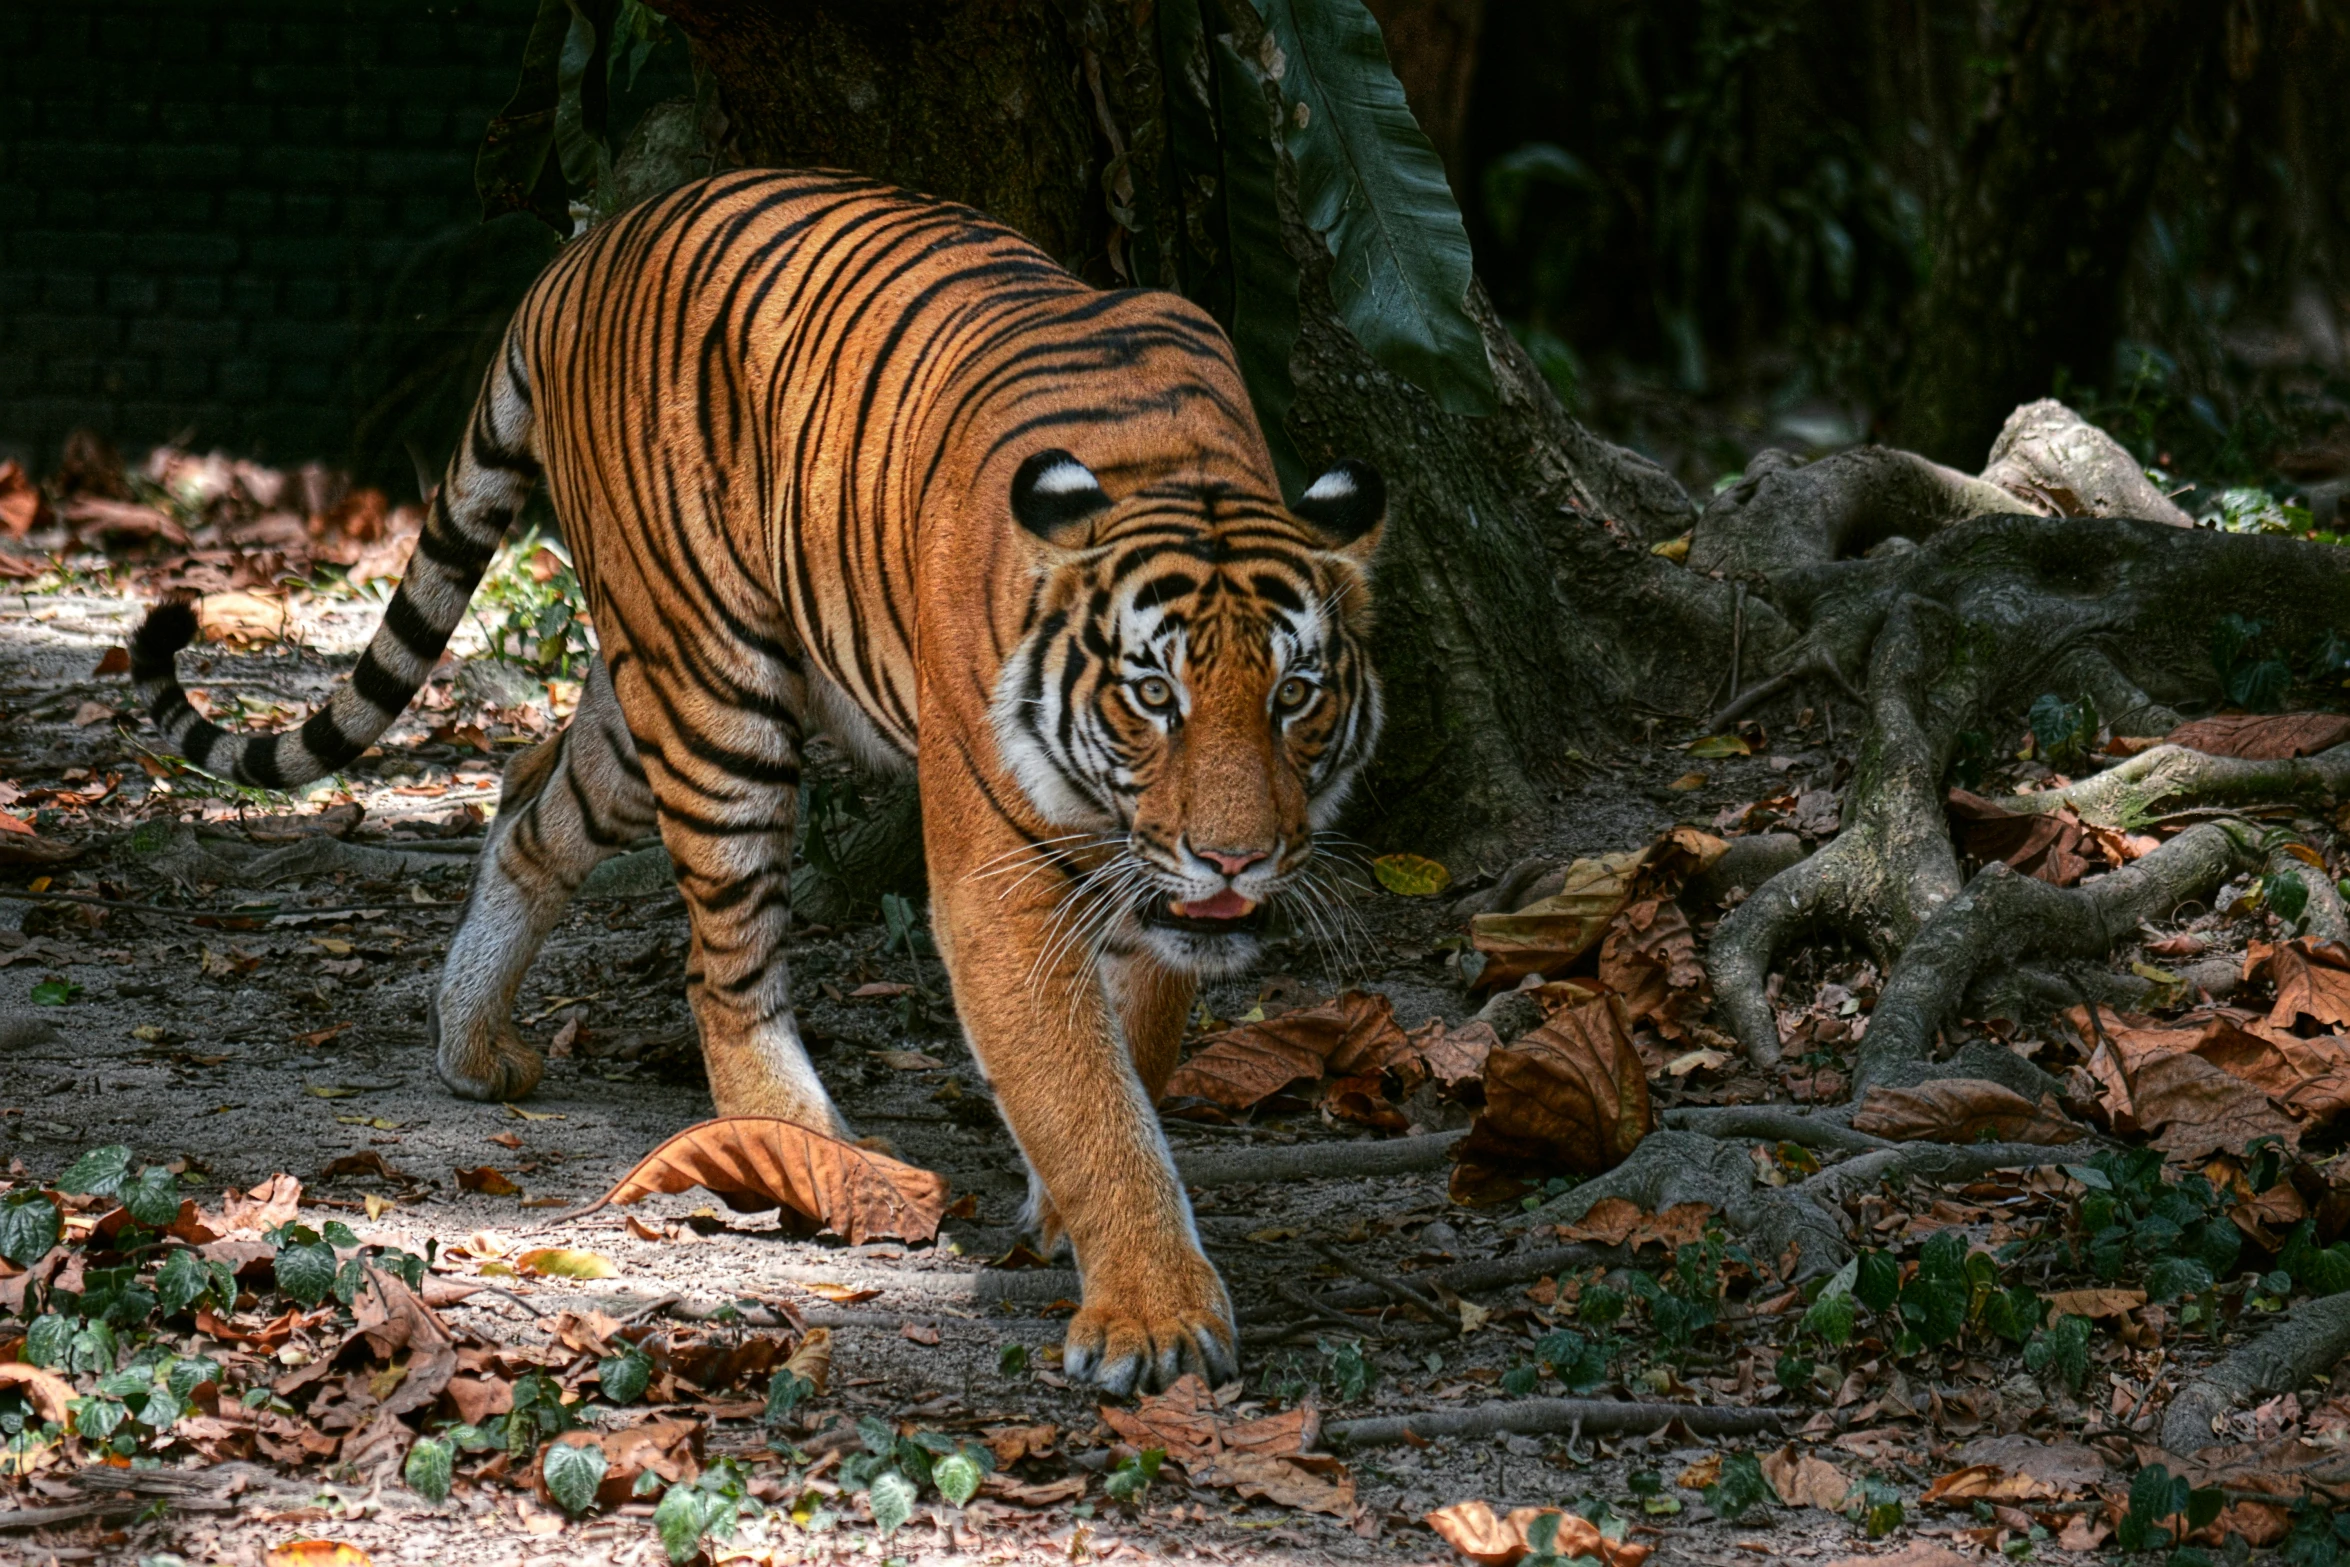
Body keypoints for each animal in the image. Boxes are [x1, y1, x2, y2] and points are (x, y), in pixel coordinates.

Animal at [133, 171, 1372, 1400]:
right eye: (1153, 695)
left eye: (1294, 694)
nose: (1235, 857)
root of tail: (580, 255)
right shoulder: (1000, 873)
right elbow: (1085, 1093)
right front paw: (1152, 1317)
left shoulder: (1144, 876)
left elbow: (1138, 1040)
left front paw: (1072, 1222)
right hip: (713, 689)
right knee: (720, 965)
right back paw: (805, 1145)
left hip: (643, 698)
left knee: (529, 805)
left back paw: (473, 1043)